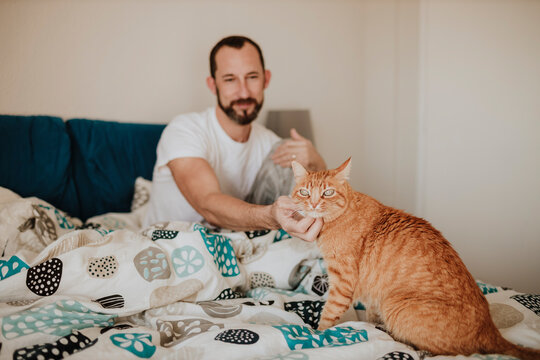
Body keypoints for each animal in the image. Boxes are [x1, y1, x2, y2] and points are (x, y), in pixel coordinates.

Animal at [292, 159, 540, 358]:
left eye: (328, 193)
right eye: (304, 192)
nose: (313, 204)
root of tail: (491, 330)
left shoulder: (343, 282)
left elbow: (328, 316)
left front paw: (316, 334)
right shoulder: (373, 293)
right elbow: (370, 313)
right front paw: (371, 325)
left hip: (394, 306)